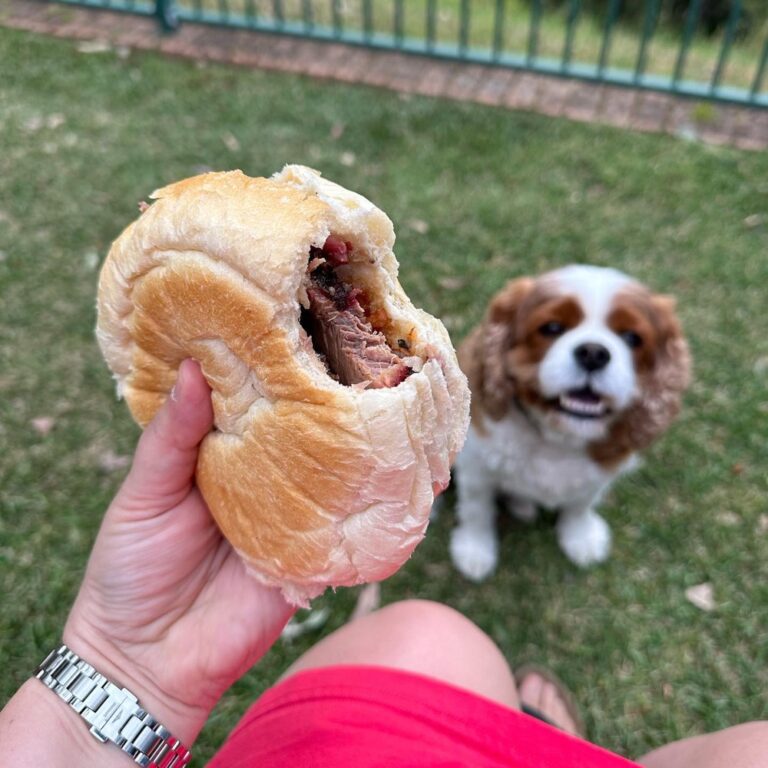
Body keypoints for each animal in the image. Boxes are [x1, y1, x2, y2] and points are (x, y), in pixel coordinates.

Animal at [450, 266, 688, 584]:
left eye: (632, 338)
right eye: (551, 328)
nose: (593, 353)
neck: (559, 438)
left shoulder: (598, 475)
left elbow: (580, 505)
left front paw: (581, 538)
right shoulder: (477, 469)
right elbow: (477, 511)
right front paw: (474, 551)